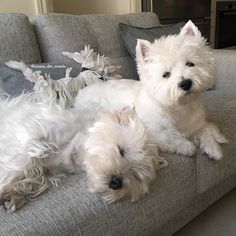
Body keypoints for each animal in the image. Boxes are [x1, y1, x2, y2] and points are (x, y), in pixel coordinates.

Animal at [74, 20, 228, 160]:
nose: (185, 83)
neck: (179, 108)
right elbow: (168, 137)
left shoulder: (196, 124)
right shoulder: (148, 130)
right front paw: (186, 146)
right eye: (166, 74)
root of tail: (80, 93)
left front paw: (214, 148)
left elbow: (206, 130)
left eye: (190, 64)